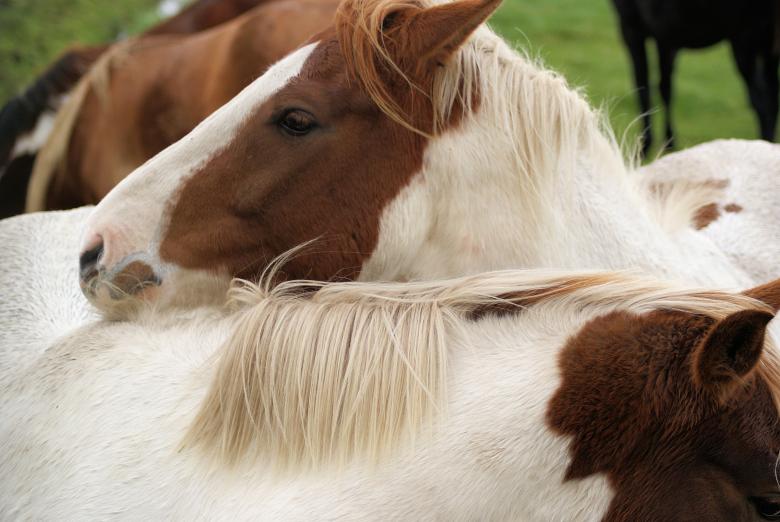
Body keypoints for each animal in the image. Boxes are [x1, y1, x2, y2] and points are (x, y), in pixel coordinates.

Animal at [611, 0, 780, 155]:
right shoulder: (666, 37)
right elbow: (665, 88)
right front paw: (669, 141)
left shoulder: (632, 26)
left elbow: (643, 86)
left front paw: (645, 146)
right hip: (767, 48)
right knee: (772, 99)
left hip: (746, 38)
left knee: (763, 103)